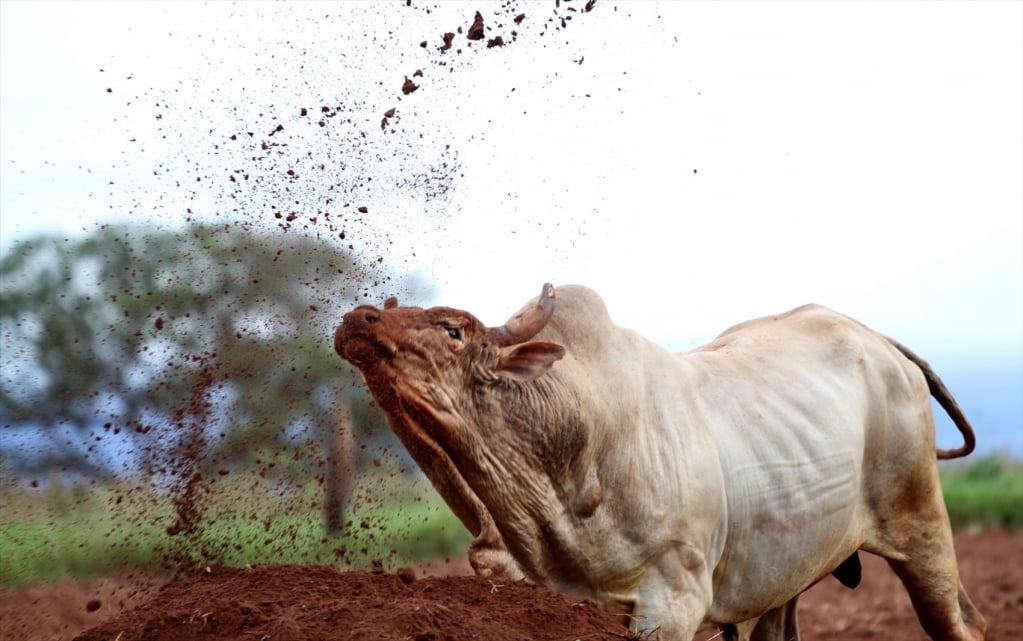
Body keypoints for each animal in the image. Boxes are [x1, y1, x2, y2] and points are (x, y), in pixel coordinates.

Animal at [333, 284, 982, 641]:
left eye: (453, 330)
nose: (359, 318)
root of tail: (876, 338)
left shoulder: (672, 605)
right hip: (786, 575)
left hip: (922, 527)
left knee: (963, 624)